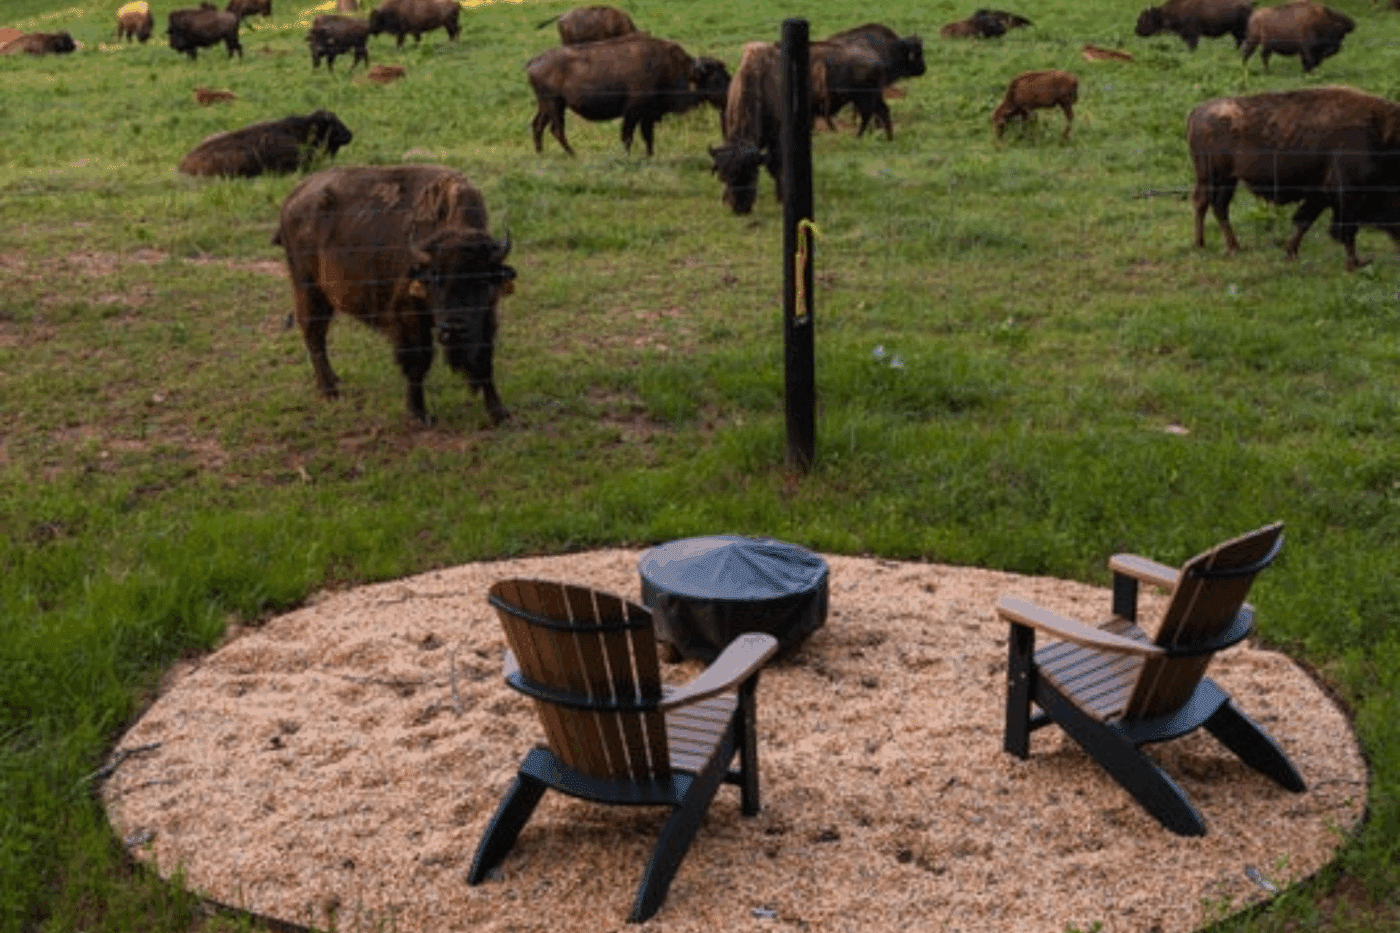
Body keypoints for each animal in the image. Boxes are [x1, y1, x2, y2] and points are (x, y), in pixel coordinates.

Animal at [272, 165, 516, 424]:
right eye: (435, 279)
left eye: (482, 280)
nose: (453, 328)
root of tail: (293, 197)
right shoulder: (408, 316)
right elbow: (418, 360)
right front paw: (418, 413)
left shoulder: (486, 314)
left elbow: (484, 359)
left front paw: (499, 412)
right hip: (308, 290)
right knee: (314, 335)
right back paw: (330, 391)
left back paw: (335, 381)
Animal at [526, 33, 730, 156]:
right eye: (716, 80)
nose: (728, 96)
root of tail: (534, 62)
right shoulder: (633, 112)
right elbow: (628, 136)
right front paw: (628, 156)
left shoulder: (647, 114)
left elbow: (647, 136)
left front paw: (650, 156)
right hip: (554, 104)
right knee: (556, 129)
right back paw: (573, 155)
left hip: (548, 105)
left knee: (538, 125)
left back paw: (541, 153)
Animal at [1189, 87, 1400, 270]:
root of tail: (1197, 112)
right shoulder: (1345, 198)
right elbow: (1344, 230)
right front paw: (1354, 264)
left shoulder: (1321, 195)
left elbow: (1304, 221)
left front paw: (1291, 253)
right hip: (1215, 178)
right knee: (1210, 205)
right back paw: (1219, 246)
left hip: (1224, 180)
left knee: (1212, 205)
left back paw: (1214, 244)